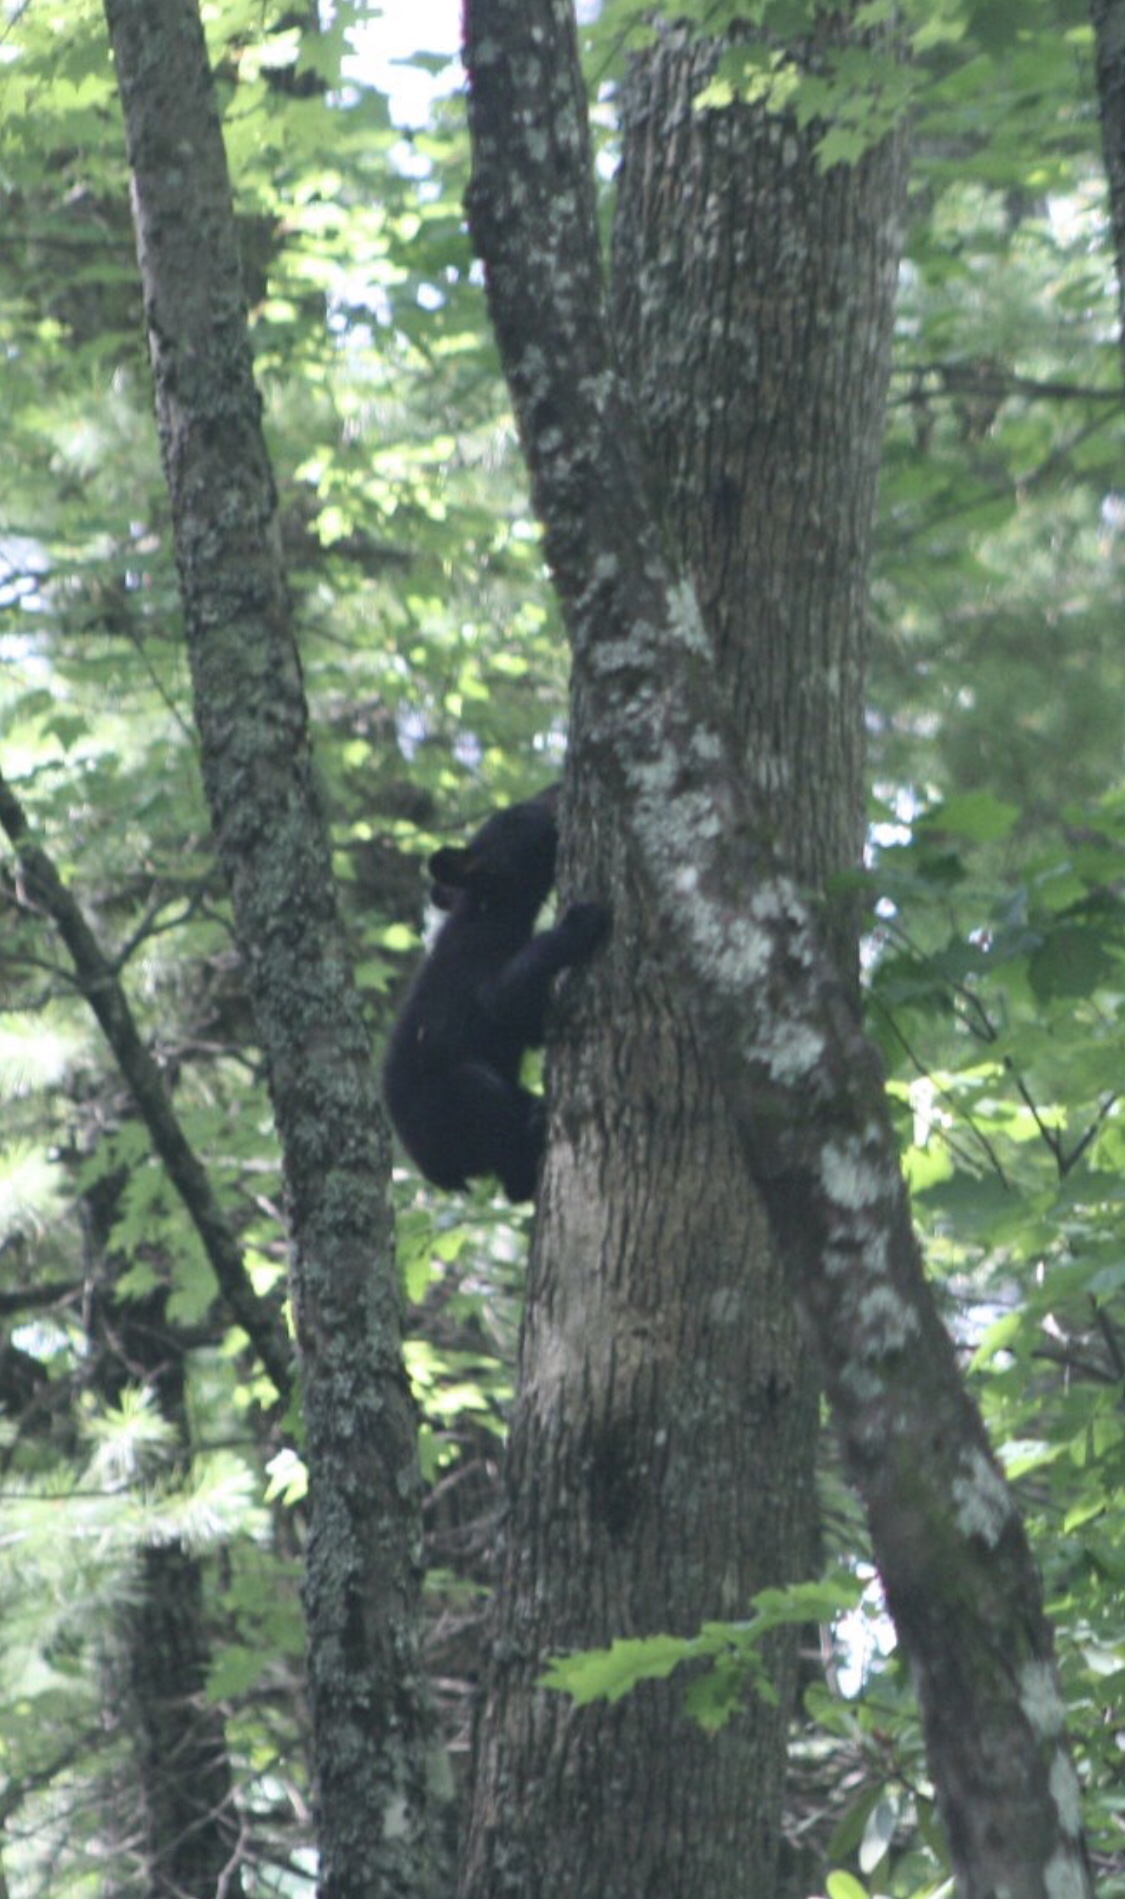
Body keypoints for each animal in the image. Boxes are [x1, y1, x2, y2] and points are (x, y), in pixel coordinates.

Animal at [382, 788, 610, 1201]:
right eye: (519, 816)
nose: (557, 791)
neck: (486, 910)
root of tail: (435, 1173)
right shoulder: (474, 967)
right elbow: (504, 995)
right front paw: (581, 922)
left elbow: (530, 1021)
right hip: (445, 1108)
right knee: (482, 1096)